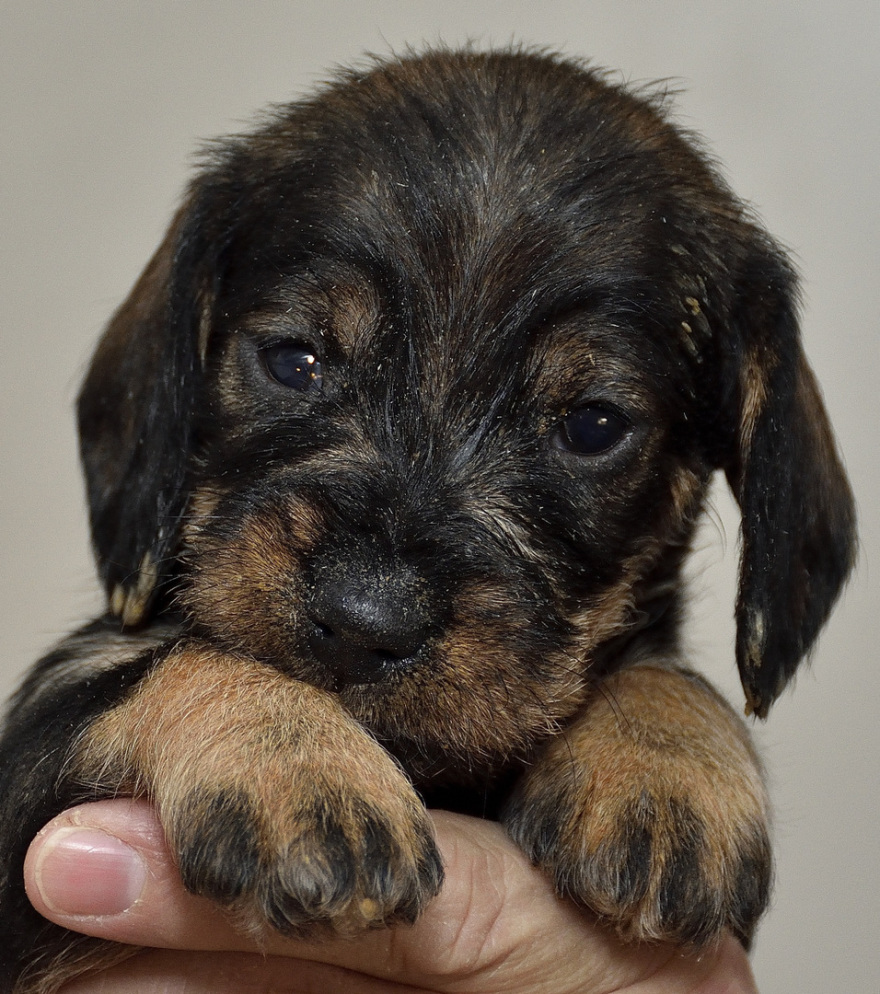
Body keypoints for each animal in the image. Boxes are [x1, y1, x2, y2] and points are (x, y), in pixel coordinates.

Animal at [0, 48, 855, 993]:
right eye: (293, 361)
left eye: (593, 426)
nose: (362, 621)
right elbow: (166, 666)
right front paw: (301, 771)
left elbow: (666, 670)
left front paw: (662, 767)